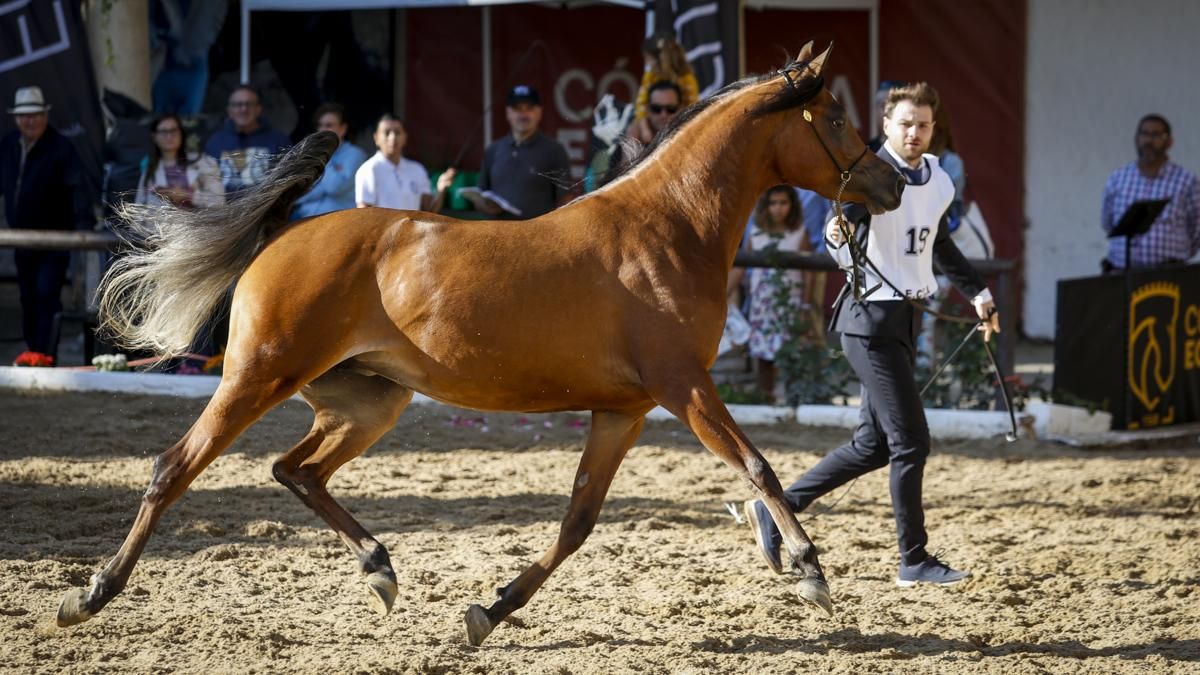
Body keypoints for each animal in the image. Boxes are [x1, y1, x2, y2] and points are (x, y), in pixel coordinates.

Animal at [57, 43, 903, 646]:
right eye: (832, 117)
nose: (895, 184)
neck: (666, 228)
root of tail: (283, 236)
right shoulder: (682, 383)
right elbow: (758, 465)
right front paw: (809, 570)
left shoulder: (623, 410)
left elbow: (577, 522)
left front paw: (488, 611)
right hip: (258, 378)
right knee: (175, 467)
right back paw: (92, 594)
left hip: (369, 401)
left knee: (295, 469)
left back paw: (381, 569)